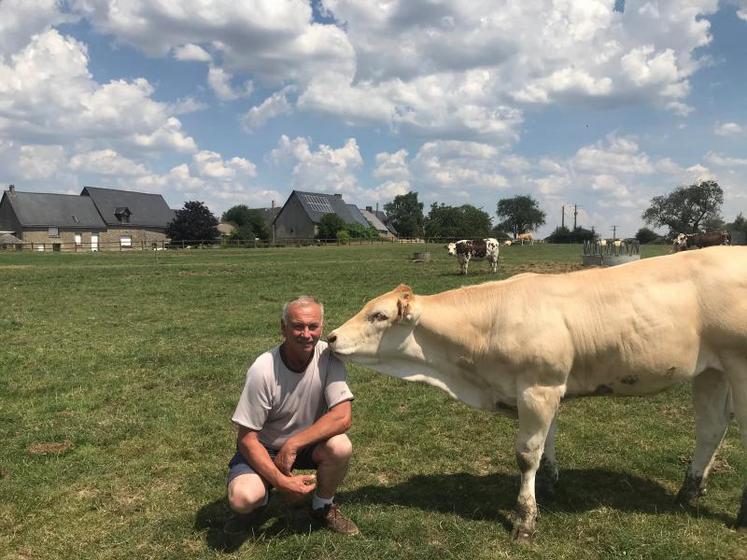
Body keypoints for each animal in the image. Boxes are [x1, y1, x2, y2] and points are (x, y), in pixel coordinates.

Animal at [330, 245, 747, 544]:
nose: (331, 337)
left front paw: (526, 518)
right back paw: (688, 492)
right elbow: (548, 443)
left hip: (738, 366)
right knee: (711, 428)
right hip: (711, 372)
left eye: (379, 316)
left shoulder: (538, 388)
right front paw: (549, 484)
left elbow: (527, 453)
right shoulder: (546, 390)